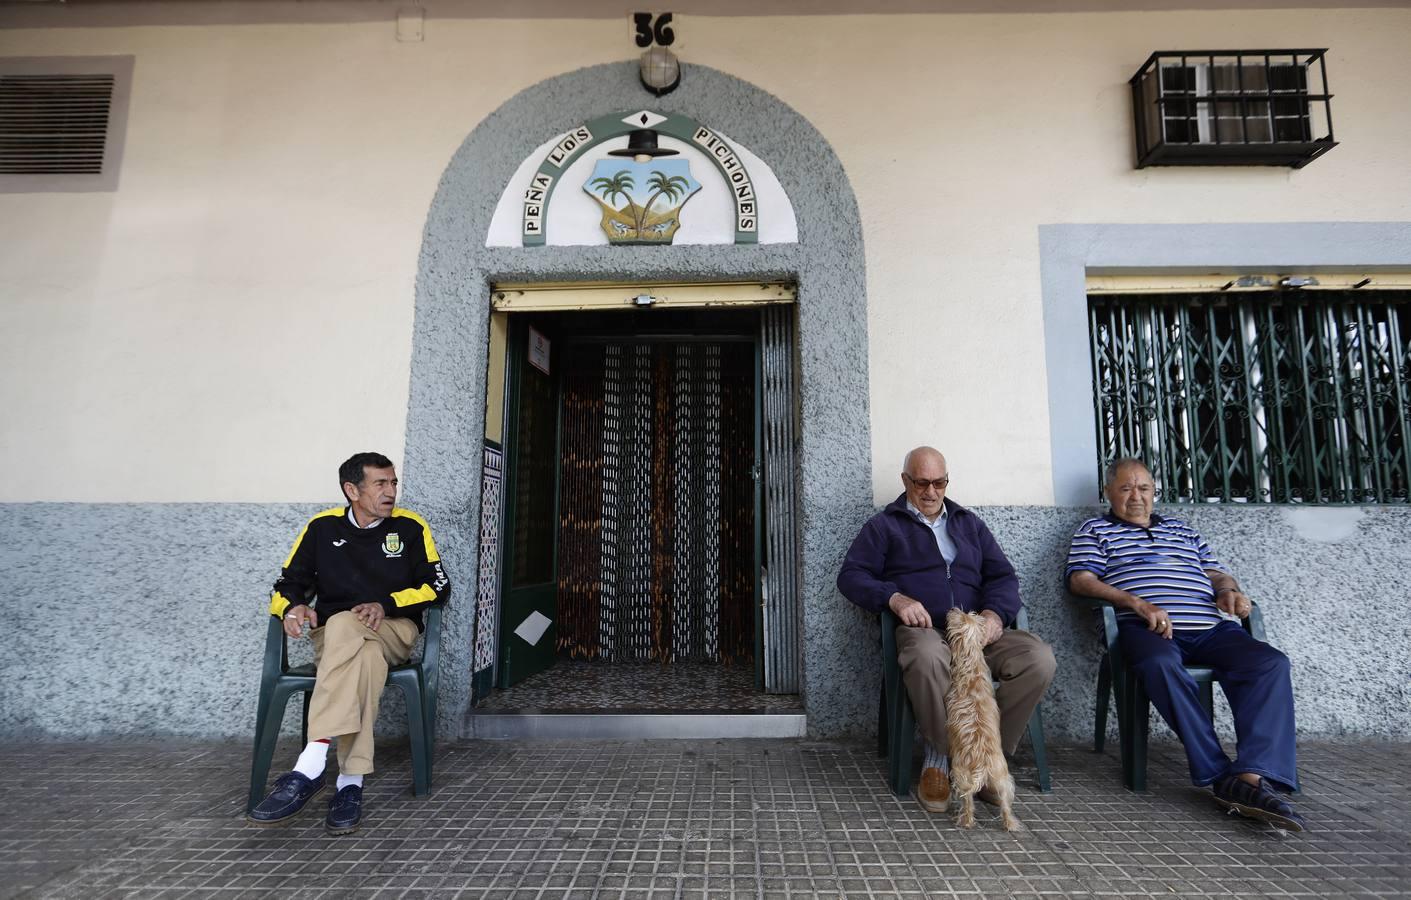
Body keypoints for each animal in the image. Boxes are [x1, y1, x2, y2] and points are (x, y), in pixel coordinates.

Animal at [942, 609, 1021, 835]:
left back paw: (965, 821)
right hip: (1002, 778)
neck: (972, 668)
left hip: (961, 772)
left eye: (962, 616)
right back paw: (1011, 824)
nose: (952, 609)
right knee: (1005, 804)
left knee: (968, 802)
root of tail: (982, 765)